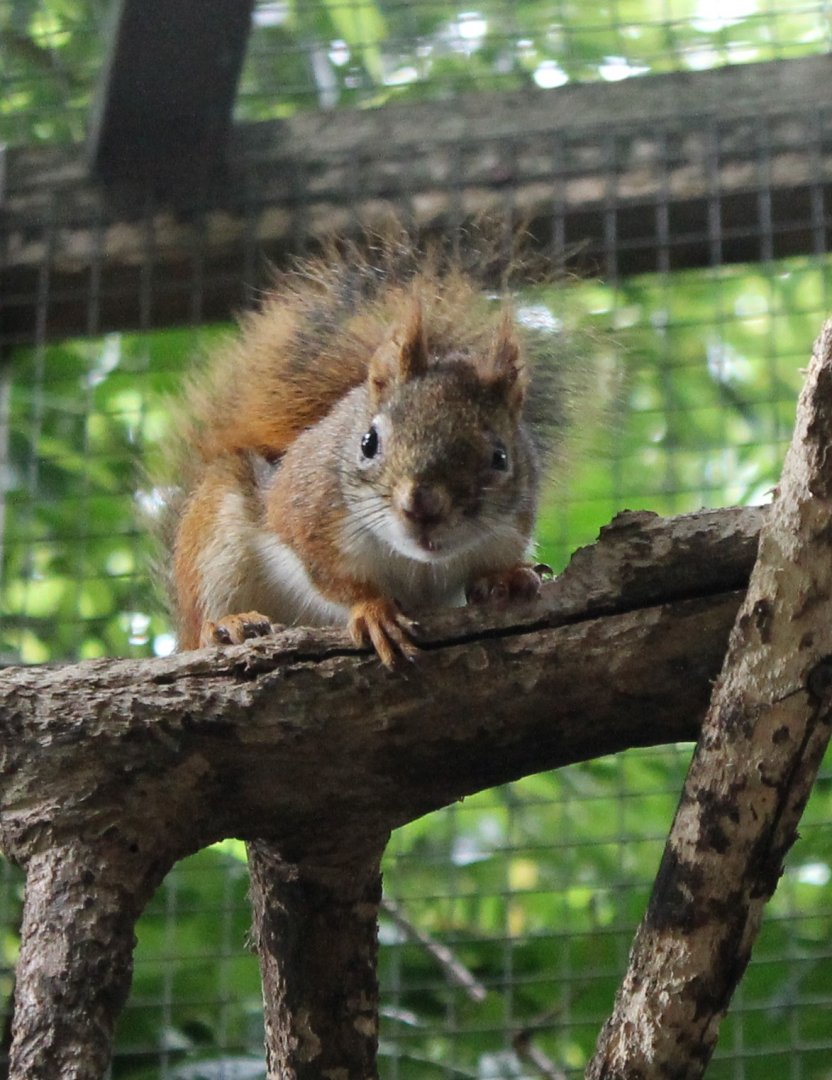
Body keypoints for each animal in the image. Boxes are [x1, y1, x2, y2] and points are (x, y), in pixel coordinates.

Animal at [157, 237, 557, 667]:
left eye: (500, 457)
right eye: (369, 443)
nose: (423, 505)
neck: (414, 561)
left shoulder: (508, 531)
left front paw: (508, 577)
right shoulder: (308, 518)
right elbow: (334, 578)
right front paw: (373, 610)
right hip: (213, 536)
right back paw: (228, 626)